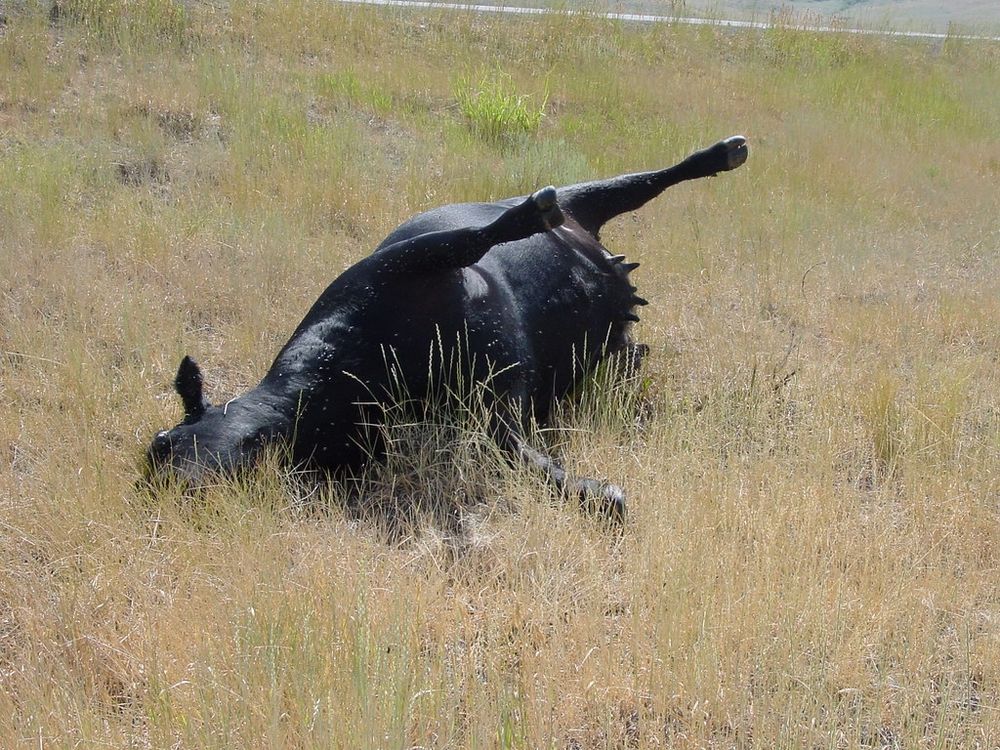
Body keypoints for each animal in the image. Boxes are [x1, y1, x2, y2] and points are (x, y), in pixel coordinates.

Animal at [146, 135, 749, 518]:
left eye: (163, 441)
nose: (176, 486)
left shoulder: (408, 261)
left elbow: (478, 237)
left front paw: (531, 213)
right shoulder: (493, 405)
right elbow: (527, 459)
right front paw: (597, 493)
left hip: (587, 195)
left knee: (647, 180)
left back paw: (721, 153)